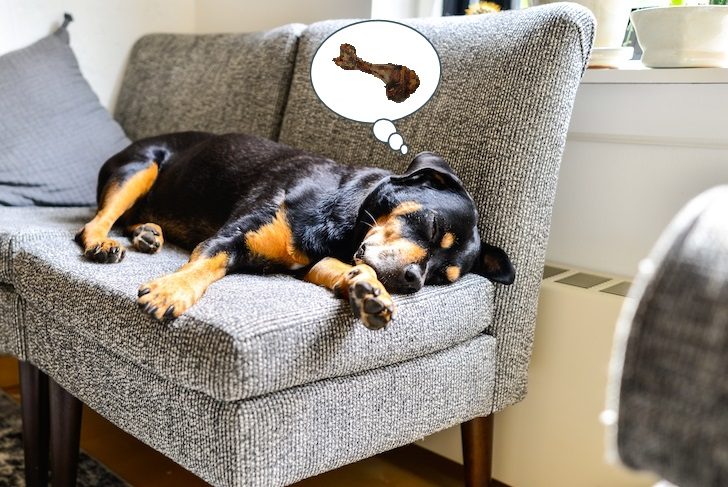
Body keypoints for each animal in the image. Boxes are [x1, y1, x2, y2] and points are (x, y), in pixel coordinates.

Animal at [77, 133, 516, 330]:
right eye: (431, 225)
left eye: (443, 278)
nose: (413, 281)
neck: (345, 216)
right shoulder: (231, 236)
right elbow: (204, 266)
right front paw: (171, 291)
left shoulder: (315, 263)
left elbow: (347, 268)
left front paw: (370, 292)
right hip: (140, 166)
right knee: (98, 219)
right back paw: (102, 243)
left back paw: (148, 233)